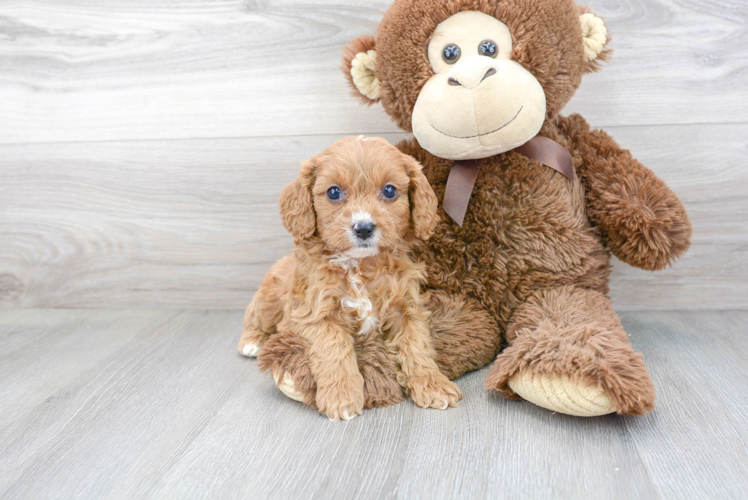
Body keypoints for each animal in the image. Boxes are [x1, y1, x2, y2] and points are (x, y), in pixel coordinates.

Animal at [240, 135, 462, 420]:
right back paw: (252, 342)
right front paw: (341, 397)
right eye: (334, 192)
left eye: (390, 191)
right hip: (268, 301)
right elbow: (335, 350)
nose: (364, 227)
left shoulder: (407, 308)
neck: (361, 266)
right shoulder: (317, 315)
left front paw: (432, 384)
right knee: (253, 318)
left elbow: (417, 346)